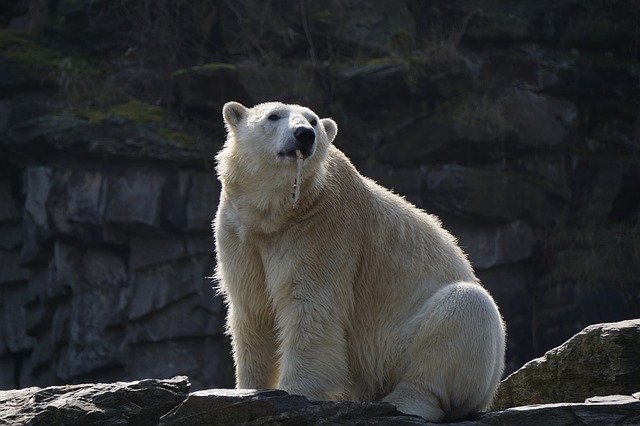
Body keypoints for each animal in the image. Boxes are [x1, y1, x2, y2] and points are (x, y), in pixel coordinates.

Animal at [214, 100, 504, 422]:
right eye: (273, 116)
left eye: (313, 121)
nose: (304, 135)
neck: (276, 215)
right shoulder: (240, 232)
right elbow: (253, 309)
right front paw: (249, 389)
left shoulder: (323, 228)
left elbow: (310, 308)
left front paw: (294, 392)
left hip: (402, 342)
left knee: (466, 309)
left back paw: (404, 401)